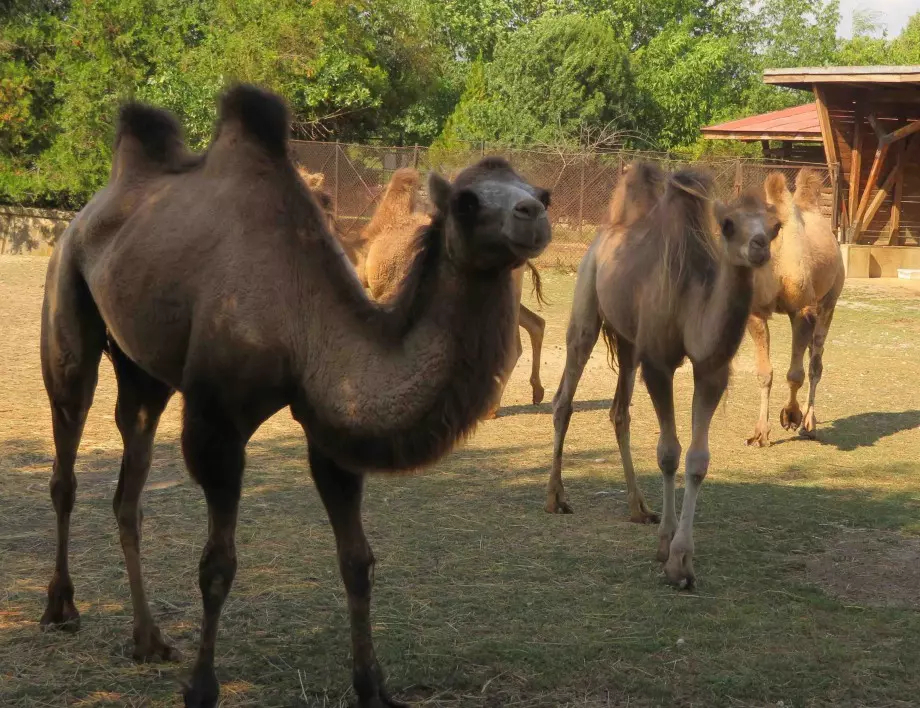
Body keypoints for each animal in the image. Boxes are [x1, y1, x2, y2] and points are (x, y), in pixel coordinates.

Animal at [548, 163, 784, 588]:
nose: (759, 247)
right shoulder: (658, 364)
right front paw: (666, 547)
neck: (692, 301)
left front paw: (682, 560)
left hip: (627, 341)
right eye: (727, 224)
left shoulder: (710, 370)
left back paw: (638, 507)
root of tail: (605, 233)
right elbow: (668, 453)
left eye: (776, 226)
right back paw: (556, 498)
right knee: (564, 398)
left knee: (619, 412)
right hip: (587, 301)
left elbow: (697, 460)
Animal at [744, 169, 844, 446]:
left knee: (815, 363)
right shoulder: (756, 313)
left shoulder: (802, 311)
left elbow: (795, 374)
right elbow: (764, 372)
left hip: (830, 299)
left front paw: (790, 416)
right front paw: (760, 434)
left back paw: (809, 424)